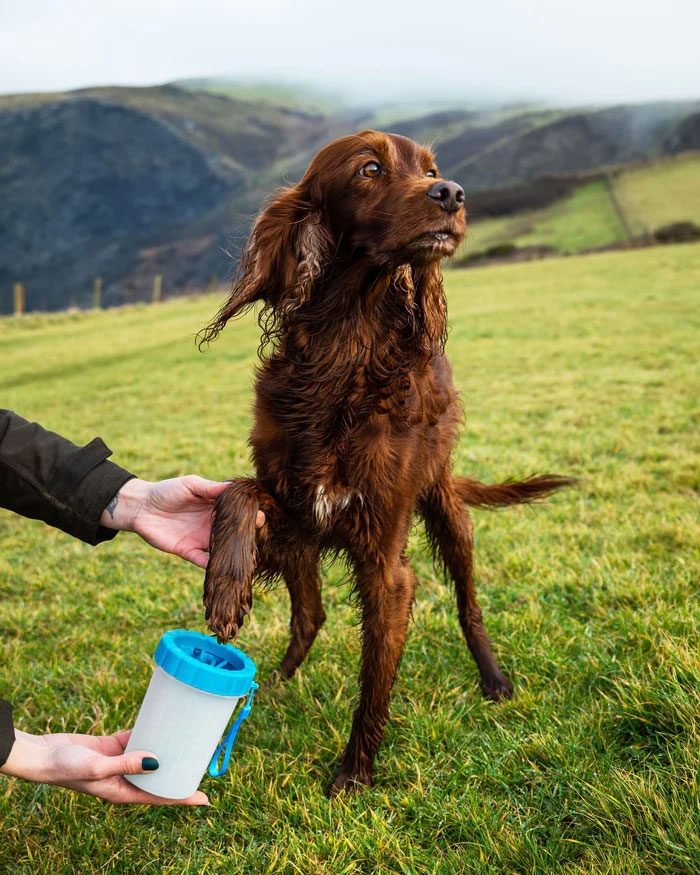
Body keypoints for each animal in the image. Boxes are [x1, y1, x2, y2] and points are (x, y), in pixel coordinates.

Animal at [198, 128, 576, 792]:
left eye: (430, 169)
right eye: (369, 169)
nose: (451, 193)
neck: (345, 353)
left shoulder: (383, 558)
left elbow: (374, 684)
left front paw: (353, 774)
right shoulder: (295, 512)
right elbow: (238, 494)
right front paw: (225, 584)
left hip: (447, 511)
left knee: (468, 605)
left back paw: (494, 679)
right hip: (308, 545)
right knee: (311, 613)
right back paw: (275, 682)